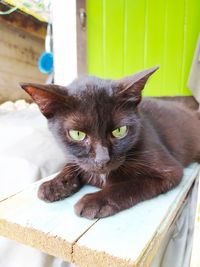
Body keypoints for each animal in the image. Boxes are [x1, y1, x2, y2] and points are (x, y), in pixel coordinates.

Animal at [21, 67, 200, 220]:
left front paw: (95, 201)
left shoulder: (170, 171)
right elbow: (72, 164)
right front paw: (54, 184)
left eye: (120, 131)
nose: (102, 159)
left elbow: (130, 184)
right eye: (77, 134)